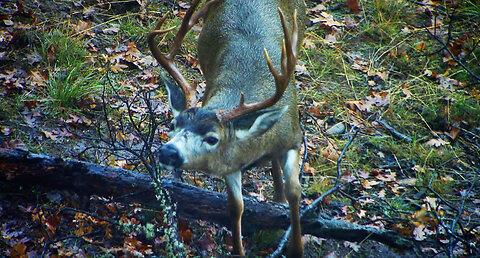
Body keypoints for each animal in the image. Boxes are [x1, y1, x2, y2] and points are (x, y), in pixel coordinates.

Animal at [149, 0, 308, 256]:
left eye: (213, 138)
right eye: (173, 125)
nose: (168, 151)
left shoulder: (294, 137)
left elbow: (295, 191)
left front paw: (296, 248)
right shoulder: (231, 161)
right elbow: (236, 206)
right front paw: (238, 250)